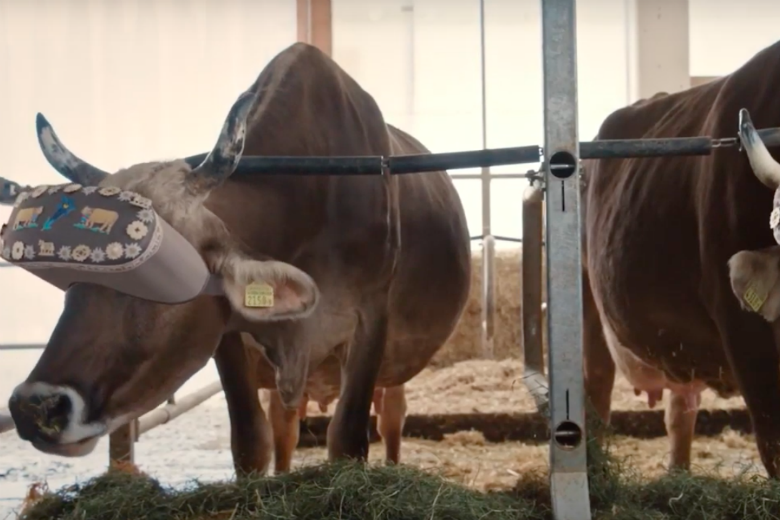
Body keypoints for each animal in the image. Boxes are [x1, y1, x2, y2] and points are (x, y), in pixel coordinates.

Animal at [4, 43, 471, 475]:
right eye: (69, 281)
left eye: (164, 276)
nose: (34, 407)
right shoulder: (229, 337)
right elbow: (250, 442)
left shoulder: (370, 316)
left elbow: (349, 439)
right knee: (285, 424)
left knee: (392, 416)